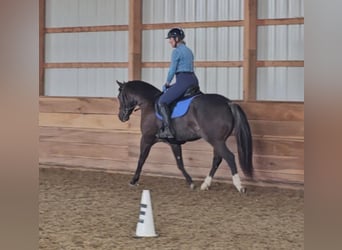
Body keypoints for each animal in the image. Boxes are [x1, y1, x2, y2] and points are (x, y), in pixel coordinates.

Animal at [116, 80, 252, 193]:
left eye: (119, 97)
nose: (121, 117)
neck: (149, 103)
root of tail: (228, 103)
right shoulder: (174, 142)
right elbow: (179, 163)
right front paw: (190, 182)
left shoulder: (146, 138)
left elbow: (141, 159)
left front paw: (133, 180)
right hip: (218, 141)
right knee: (217, 159)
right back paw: (205, 184)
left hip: (216, 140)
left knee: (229, 157)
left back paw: (239, 186)